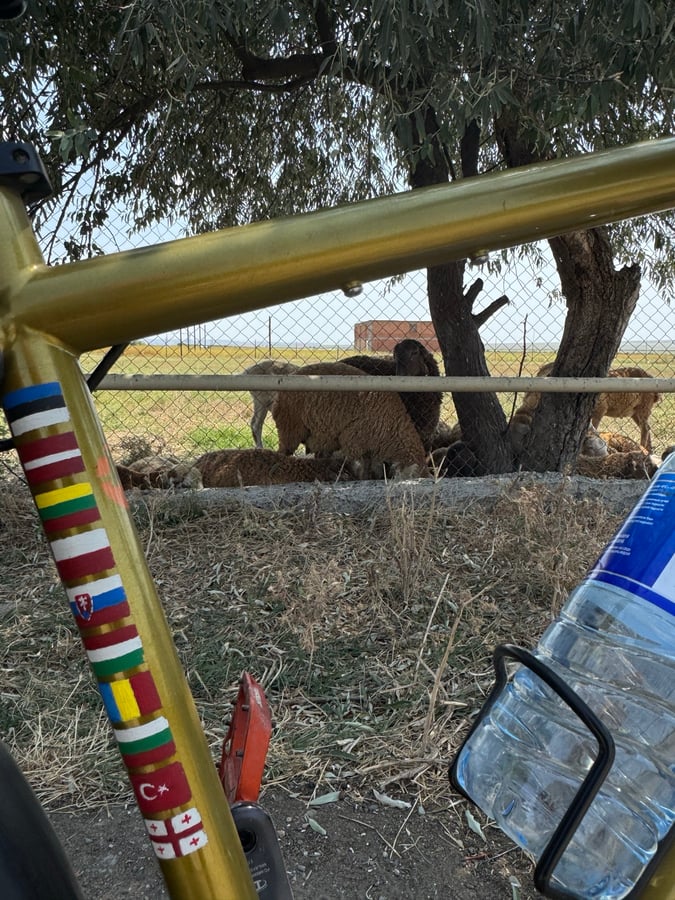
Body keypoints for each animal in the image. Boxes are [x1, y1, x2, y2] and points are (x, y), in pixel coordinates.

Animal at [271, 362, 429, 478]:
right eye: (412, 476)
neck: (392, 427)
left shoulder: (369, 449)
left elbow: (369, 467)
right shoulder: (353, 442)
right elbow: (360, 466)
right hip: (290, 428)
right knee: (283, 452)